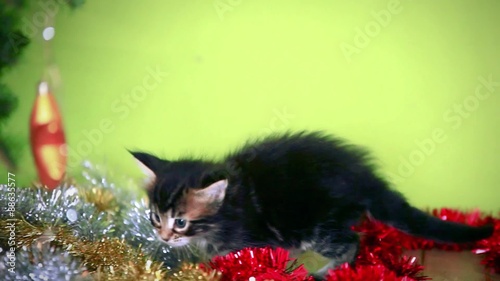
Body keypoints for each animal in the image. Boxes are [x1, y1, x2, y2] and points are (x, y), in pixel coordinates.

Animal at [131, 130, 494, 276]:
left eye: (180, 221)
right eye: (154, 217)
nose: (163, 237)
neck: (227, 208)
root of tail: (366, 180)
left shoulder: (251, 237)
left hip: (316, 226)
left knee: (353, 241)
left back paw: (324, 272)